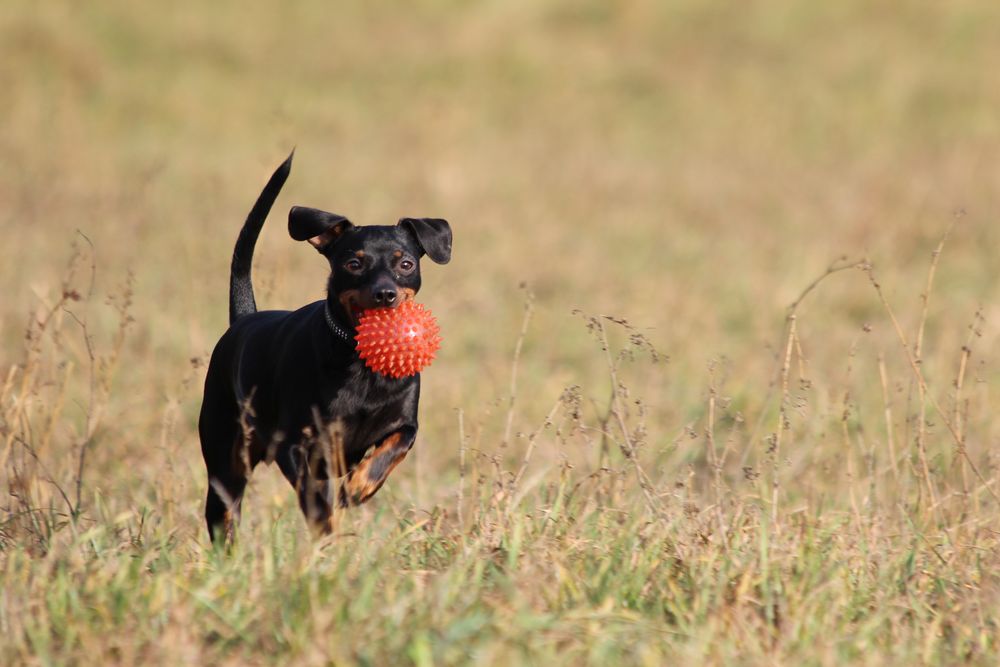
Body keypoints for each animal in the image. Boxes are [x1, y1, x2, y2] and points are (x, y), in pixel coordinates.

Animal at [199, 155, 454, 544]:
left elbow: (393, 447)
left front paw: (361, 486)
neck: (362, 367)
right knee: (223, 514)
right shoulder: (293, 446)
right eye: (354, 263)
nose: (385, 294)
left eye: (406, 263)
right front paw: (327, 531)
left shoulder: (404, 425)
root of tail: (243, 319)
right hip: (226, 462)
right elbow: (314, 499)